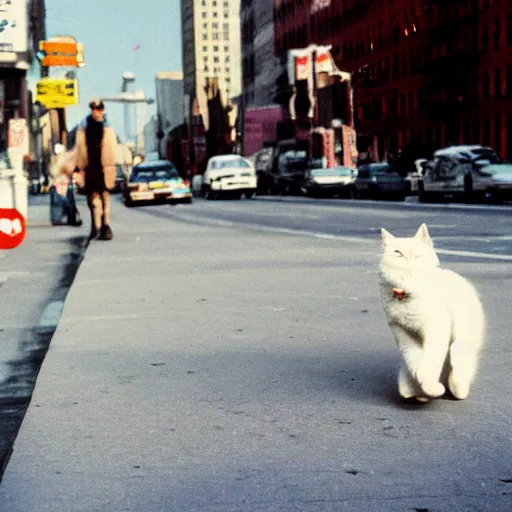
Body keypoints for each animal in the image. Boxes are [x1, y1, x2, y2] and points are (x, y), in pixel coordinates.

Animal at [378, 224, 486, 404]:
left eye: (418, 254)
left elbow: (431, 360)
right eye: (398, 253)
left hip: (463, 339)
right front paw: (422, 382)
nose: (409, 259)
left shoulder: (437, 327)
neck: (408, 295)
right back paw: (420, 394)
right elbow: (413, 358)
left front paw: (430, 385)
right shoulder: (401, 332)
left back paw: (455, 388)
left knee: (458, 360)